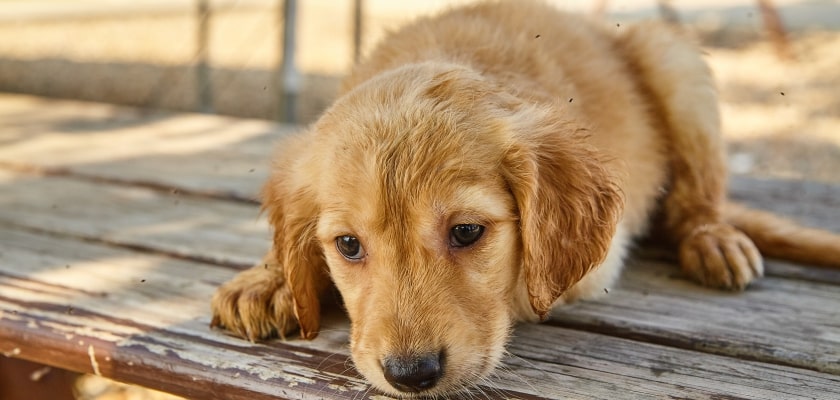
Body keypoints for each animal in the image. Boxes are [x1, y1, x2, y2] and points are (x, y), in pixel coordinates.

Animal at [210, 0, 840, 396]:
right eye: (347, 245)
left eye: (467, 232)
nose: (411, 375)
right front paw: (268, 279)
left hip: (668, 53)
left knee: (695, 198)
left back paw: (712, 237)